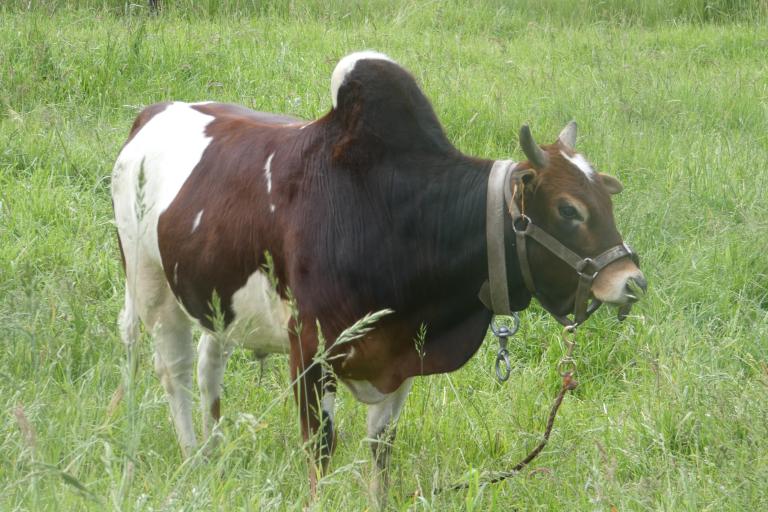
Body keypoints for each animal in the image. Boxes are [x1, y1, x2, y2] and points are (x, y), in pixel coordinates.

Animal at [111, 52, 644, 500]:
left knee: (208, 367)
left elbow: (382, 451)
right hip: (149, 284)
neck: (394, 211)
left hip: (217, 296)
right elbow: (320, 449)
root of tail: (152, 114)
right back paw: (192, 462)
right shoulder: (310, 349)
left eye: (607, 199)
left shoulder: (400, 358)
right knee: (174, 369)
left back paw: (214, 454)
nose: (632, 281)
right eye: (569, 209)